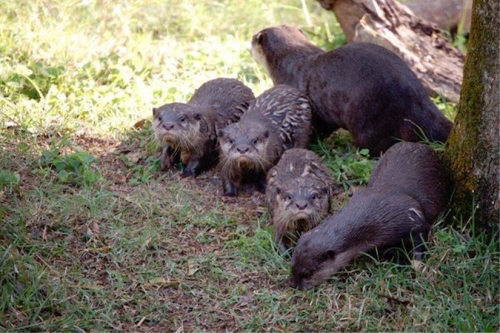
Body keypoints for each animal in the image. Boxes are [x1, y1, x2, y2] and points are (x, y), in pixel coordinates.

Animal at [252, 25, 452, 154]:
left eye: (254, 38)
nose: (251, 39)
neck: (290, 64)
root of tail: (416, 98)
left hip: (367, 114)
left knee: (374, 146)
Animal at [288, 141, 452, 290]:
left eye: (307, 273)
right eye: (292, 264)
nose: (293, 284)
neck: (377, 211)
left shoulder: (411, 217)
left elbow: (420, 239)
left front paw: (417, 264)